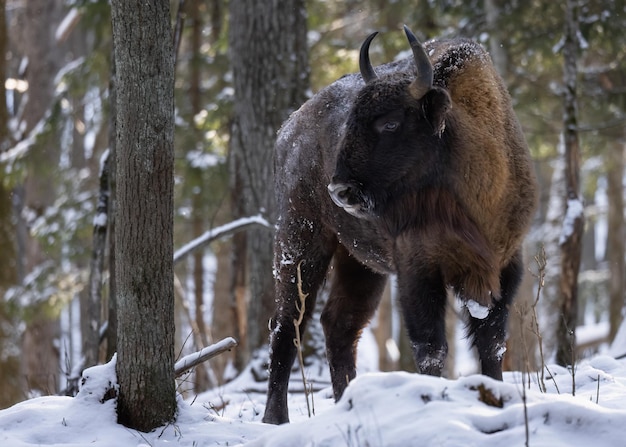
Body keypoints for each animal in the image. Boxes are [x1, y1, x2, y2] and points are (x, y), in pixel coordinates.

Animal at [262, 26, 536, 426]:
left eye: (390, 122)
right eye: (351, 121)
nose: (339, 190)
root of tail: (288, 131)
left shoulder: (504, 264)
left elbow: (492, 343)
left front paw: (495, 397)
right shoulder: (418, 268)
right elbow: (431, 346)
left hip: (360, 263)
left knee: (339, 325)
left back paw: (346, 403)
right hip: (300, 241)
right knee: (287, 325)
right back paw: (275, 419)